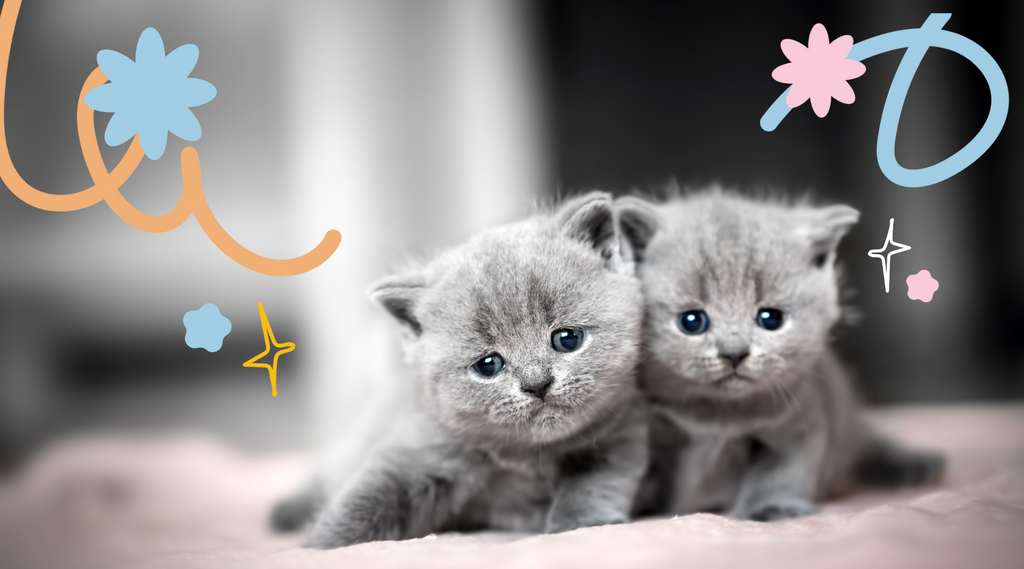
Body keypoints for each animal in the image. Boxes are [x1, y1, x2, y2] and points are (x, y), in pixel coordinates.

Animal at [272, 192, 647, 548]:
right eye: (488, 365)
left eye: (568, 339)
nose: (536, 383)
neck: (529, 456)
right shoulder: (420, 447)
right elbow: (367, 496)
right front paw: (319, 545)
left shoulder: (621, 432)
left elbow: (595, 482)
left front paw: (581, 524)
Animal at [614, 190, 942, 519]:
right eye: (691, 321)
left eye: (771, 319)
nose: (734, 352)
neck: (719, 417)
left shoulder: (800, 421)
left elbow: (781, 473)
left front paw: (773, 508)